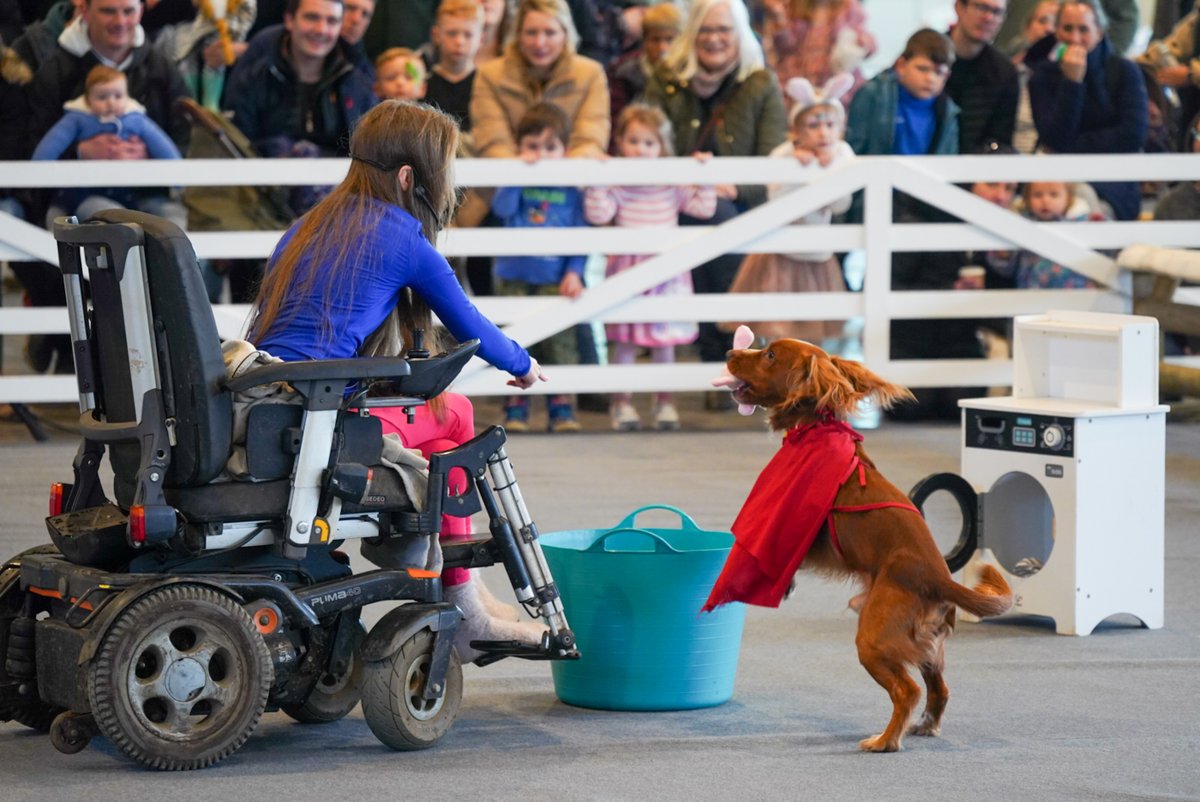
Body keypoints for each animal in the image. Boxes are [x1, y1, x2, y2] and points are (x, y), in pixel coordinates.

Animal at [720, 338, 1012, 753]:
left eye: (771, 355)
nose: (731, 353)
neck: (814, 429)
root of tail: (940, 578)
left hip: (872, 639)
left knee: (907, 691)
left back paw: (885, 740)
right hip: (926, 645)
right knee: (939, 689)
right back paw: (923, 727)